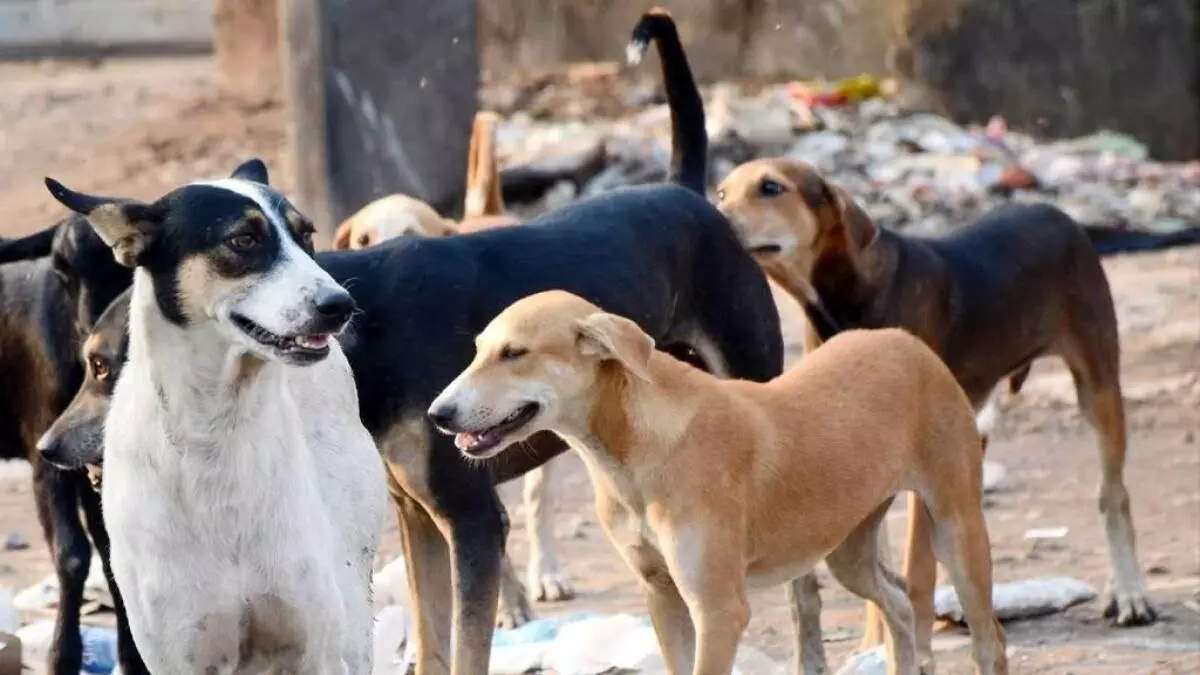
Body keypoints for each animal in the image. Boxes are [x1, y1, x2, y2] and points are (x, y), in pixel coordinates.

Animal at [44, 163, 384, 672]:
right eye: (243, 239)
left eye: (306, 236)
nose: (340, 305)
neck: (218, 430)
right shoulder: (183, 653)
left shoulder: (313, 646)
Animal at [427, 289, 1008, 672]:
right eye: (478, 350)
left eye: (514, 354)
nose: (438, 414)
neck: (634, 451)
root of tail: (907, 341)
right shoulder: (661, 594)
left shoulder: (719, 609)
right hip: (848, 551)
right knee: (900, 607)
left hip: (957, 529)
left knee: (989, 641)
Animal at [715, 157, 1156, 667]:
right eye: (723, 192)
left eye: (771, 187)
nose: (713, 214)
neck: (844, 297)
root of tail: (1055, 212)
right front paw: (875, 645)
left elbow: (914, 569)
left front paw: (917, 648)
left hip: (1096, 384)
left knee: (1113, 494)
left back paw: (1129, 593)